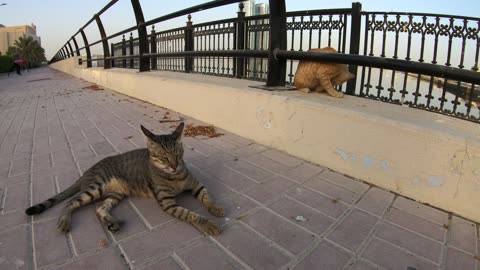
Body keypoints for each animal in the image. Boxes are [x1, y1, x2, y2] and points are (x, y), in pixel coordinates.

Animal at [27, 123, 226, 235]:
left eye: (178, 154)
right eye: (163, 158)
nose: (175, 166)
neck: (174, 176)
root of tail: (85, 172)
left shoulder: (196, 184)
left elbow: (206, 196)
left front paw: (215, 208)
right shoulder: (168, 203)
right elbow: (191, 214)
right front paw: (208, 224)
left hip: (115, 195)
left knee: (99, 208)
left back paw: (111, 223)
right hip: (95, 187)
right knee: (69, 203)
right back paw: (64, 221)